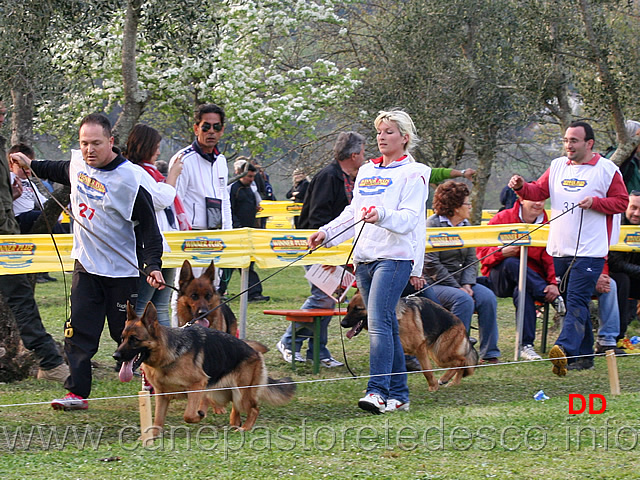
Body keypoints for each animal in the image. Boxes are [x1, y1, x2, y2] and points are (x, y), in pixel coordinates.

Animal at [115, 302, 296, 430]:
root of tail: (254, 351)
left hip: (241, 393)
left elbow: (188, 415)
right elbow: (157, 423)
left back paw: (244, 428)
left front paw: (199, 414)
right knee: (235, 408)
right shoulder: (162, 396)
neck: (167, 355)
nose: (115, 356)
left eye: (134, 339)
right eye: (122, 338)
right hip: (222, 393)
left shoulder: (197, 385)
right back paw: (234, 423)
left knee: (254, 409)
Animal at [342, 292, 478, 390]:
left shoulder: (420, 349)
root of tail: (462, 326)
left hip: (440, 354)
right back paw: (455, 382)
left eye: (357, 309)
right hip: (437, 353)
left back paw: (446, 379)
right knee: (461, 362)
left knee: (462, 361)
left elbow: (427, 371)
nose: (342, 323)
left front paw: (433, 387)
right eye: (348, 308)